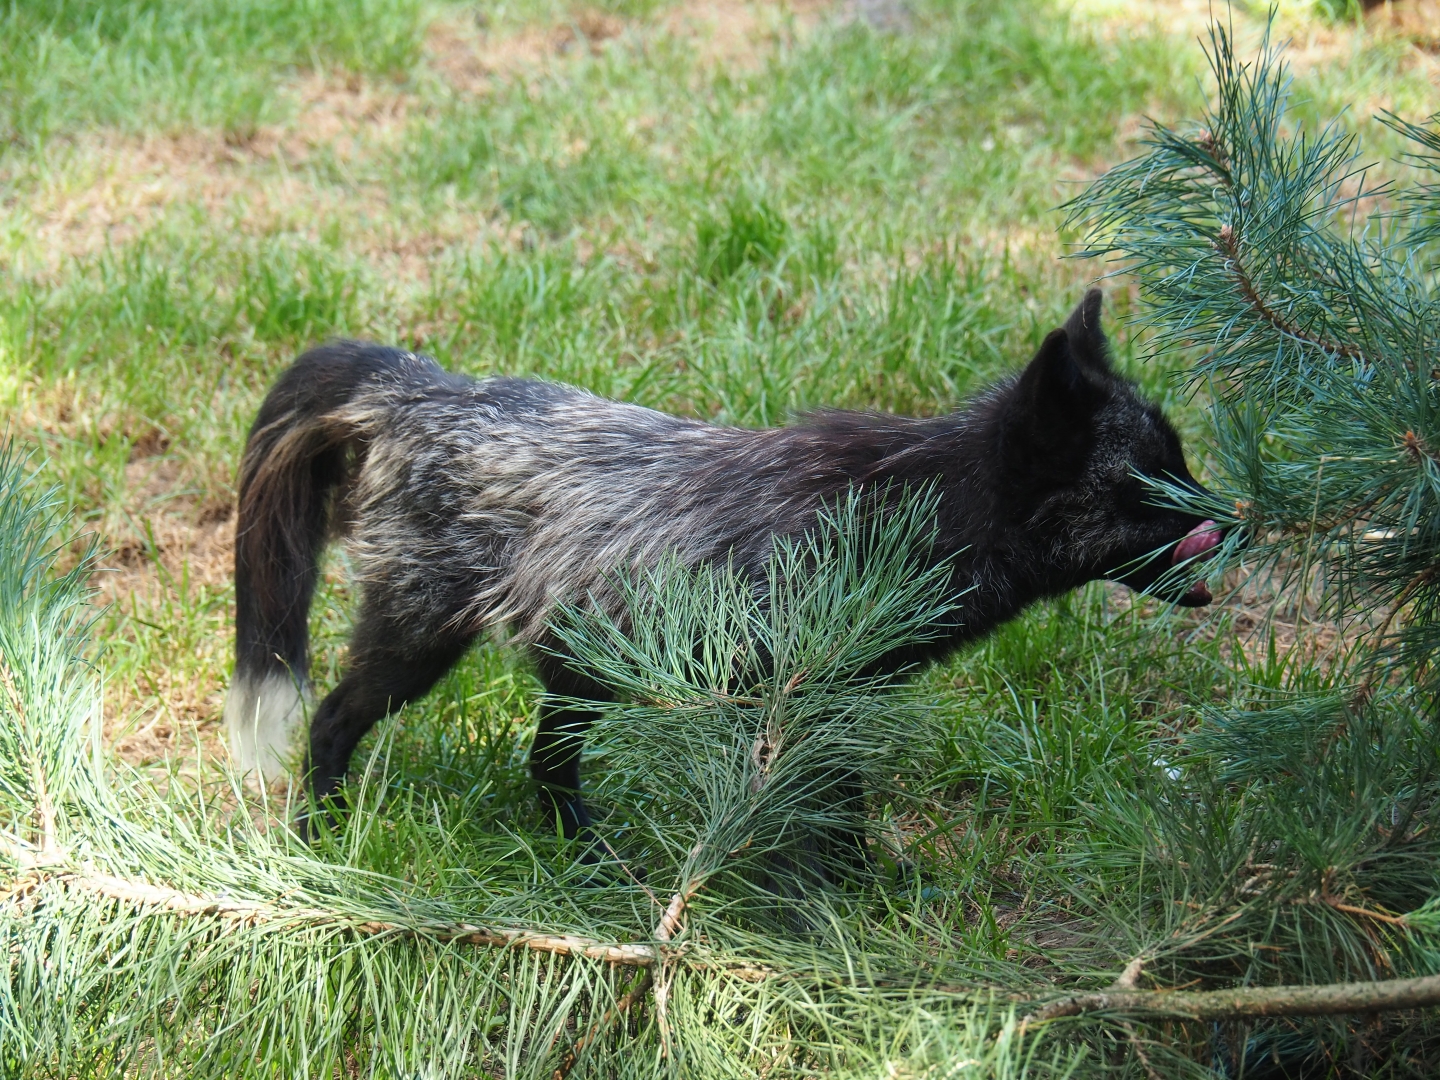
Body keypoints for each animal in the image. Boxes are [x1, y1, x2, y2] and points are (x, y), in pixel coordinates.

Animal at [225, 288, 1222, 841]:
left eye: (1181, 458)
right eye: (1151, 482)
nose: (1237, 521)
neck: (910, 513)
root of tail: (424, 386)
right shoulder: (792, 696)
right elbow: (824, 820)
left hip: (579, 673)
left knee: (544, 770)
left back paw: (591, 859)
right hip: (417, 640)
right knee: (331, 721)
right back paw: (321, 833)